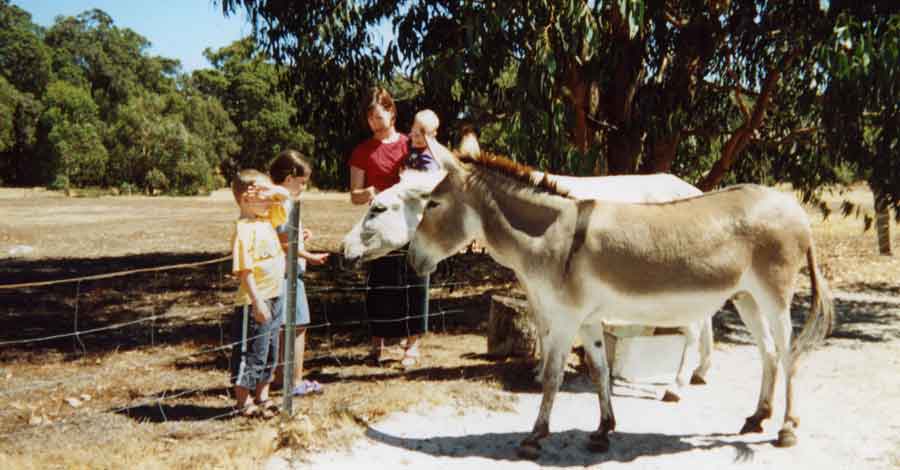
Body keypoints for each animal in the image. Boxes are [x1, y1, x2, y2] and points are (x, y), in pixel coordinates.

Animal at [342, 138, 833, 458]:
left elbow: (556, 376)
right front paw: (603, 430)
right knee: (768, 353)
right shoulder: (589, 318)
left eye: (434, 205)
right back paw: (757, 417)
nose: (413, 262)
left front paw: (535, 436)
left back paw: (785, 429)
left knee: (788, 353)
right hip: (747, 296)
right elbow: (598, 370)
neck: (553, 237)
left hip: (774, 293)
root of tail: (793, 207)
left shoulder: (564, 317)